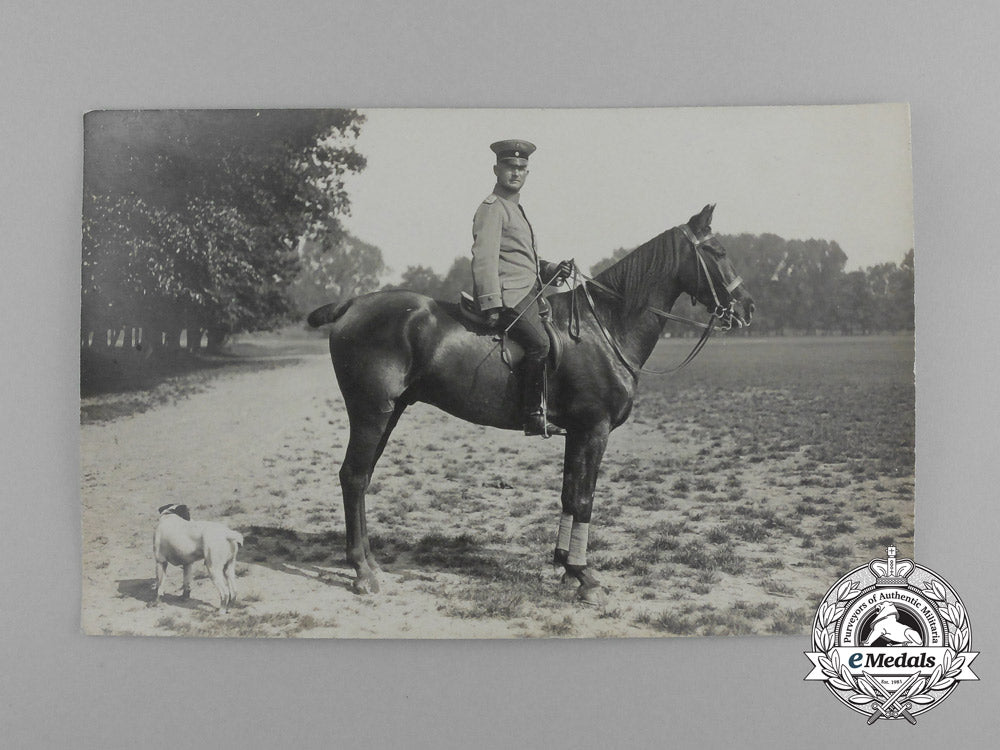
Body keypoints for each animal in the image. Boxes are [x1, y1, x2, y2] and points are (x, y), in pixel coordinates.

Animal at [308, 207, 752, 604]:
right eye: (716, 251)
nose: (746, 307)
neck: (605, 328)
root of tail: (351, 305)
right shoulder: (594, 431)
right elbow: (584, 500)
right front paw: (584, 576)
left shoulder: (577, 433)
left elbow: (569, 495)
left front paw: (566, 566)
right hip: (369, 413)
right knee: (353, 477)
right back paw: (361, 571)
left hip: (390, 412)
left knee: (362, 478)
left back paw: (370, 562)